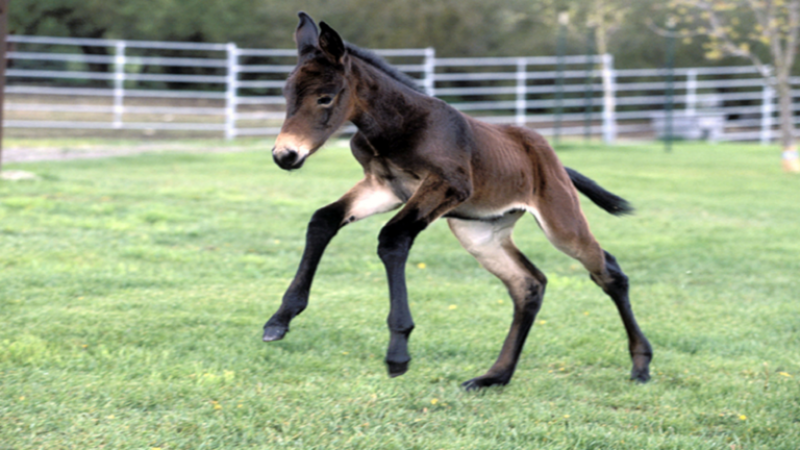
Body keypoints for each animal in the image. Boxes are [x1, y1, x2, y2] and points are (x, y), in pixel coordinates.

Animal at [262, 12, 648, 388]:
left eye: (325, 97)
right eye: (287, 95)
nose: (285, 155)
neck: (396, 127)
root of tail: (549, 156)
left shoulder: (448, 186)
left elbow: (392, 238)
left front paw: (398, 352)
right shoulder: (383, 187)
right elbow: (323, 220)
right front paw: (279, 320)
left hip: (561, 223)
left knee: (608, 272)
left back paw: (641, 365)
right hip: (480, 234)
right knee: (528, 285)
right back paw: (495, 377)